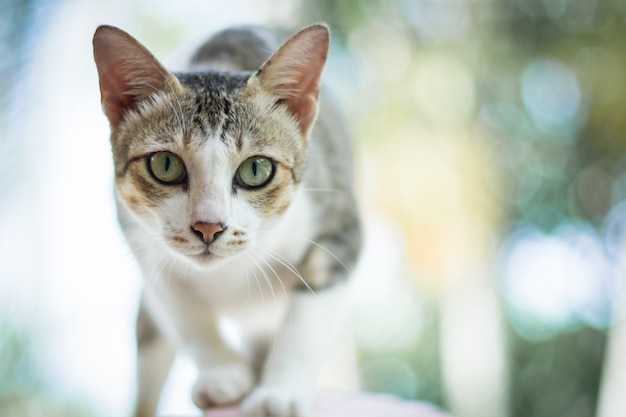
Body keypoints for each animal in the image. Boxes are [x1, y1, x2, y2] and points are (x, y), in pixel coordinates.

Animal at [91, 23, 360, 416]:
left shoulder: (339, 232)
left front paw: (278, 393)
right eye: (165, 165)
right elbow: (185, 315)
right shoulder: (143, 244)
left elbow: (305, 326)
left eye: (256, 169)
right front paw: (223, 374)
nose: (208, 226)